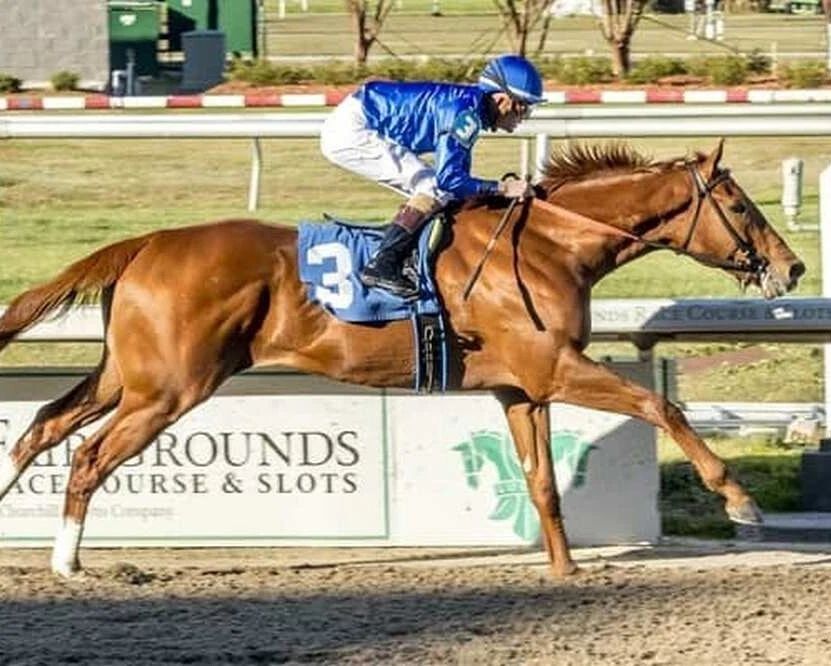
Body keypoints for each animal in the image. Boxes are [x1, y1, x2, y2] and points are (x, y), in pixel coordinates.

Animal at [0, 139, 805, 578]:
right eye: (740, 206)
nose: (791, 267)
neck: (549, 245)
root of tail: (146, 242)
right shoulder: (555, 369)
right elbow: (659, 403)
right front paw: (740, 502)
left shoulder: (520, 389)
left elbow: (541, 481)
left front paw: (565, 567)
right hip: (169, 388)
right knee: (87, 456)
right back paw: (68, 563)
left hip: (127, 376)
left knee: (43, 426)